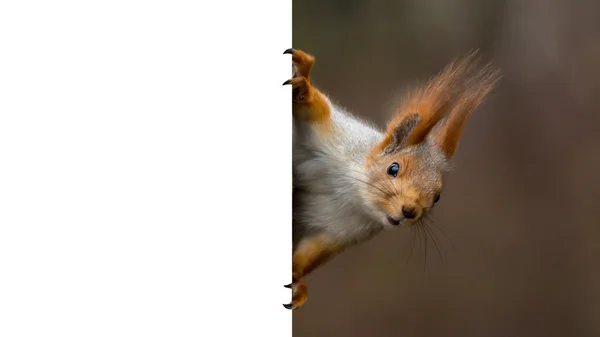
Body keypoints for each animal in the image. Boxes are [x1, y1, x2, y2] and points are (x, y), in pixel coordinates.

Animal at [284, 48, 500, 310]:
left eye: (437, 197)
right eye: (393, 168)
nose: (410, 211)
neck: (354, 195)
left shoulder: (340, 233)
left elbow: (311, 253)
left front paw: (297, 278)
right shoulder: (333, 133)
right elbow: (314, 108)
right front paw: (303, 81)